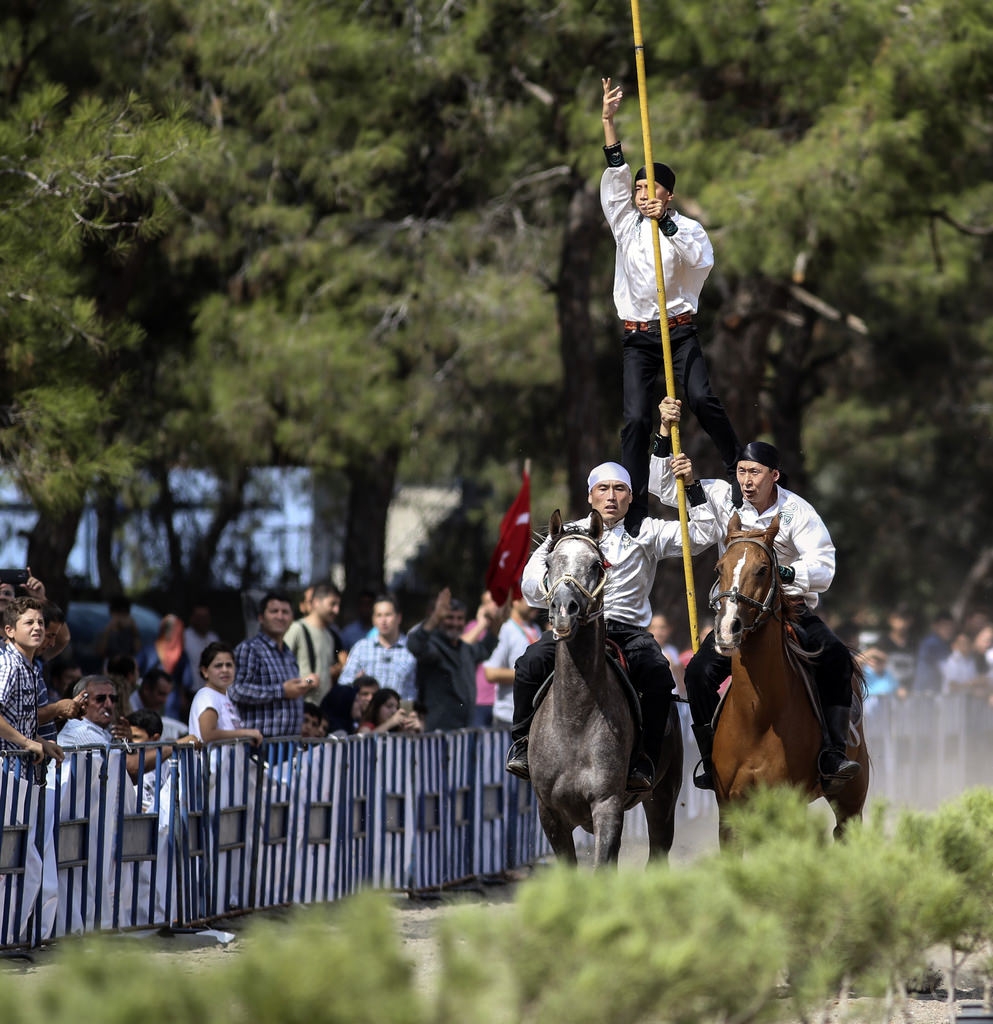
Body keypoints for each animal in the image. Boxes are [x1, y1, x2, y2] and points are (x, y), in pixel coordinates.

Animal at [528, 512, 679, 864]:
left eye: (597, 564)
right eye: (548, 563)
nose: (564, 609)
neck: (575, 719)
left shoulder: (608, 805)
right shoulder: (549, 813)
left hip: (663, 797)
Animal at [704, 512, 868, 839]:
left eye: (763, 569)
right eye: (719, 567)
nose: (727, 628)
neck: (757, 714)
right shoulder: (729, 810)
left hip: (851, 799)